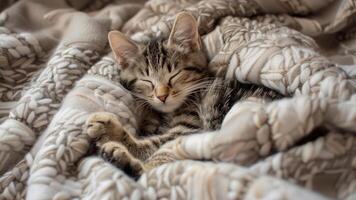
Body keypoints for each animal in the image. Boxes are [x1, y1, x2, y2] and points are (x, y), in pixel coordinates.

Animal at [85, 12, 280, 177]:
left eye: (174, 75)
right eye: (147, 81)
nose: (162, 96)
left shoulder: (189, 128)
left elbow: (155, 143)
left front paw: (112, 131)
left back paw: (125, 161)